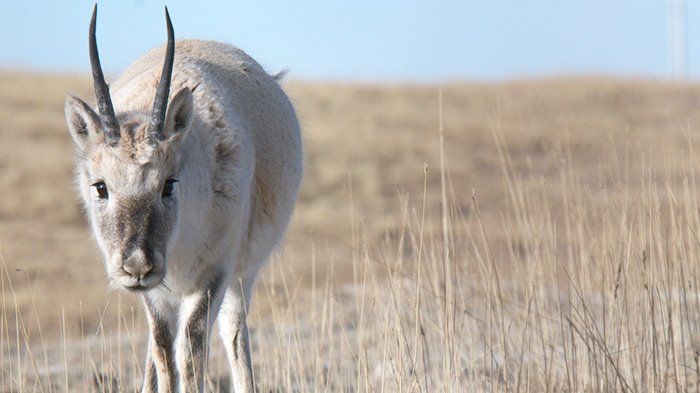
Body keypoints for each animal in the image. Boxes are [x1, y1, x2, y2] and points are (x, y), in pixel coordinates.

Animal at [65, 4, 304, 390]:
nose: (136, 265)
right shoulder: (155, 293)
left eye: (168, 184)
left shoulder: (213, 275)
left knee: (233, 332)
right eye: (100, 186)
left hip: (242, 276)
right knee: (157, 348)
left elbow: (190, 351)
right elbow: (163, 351)